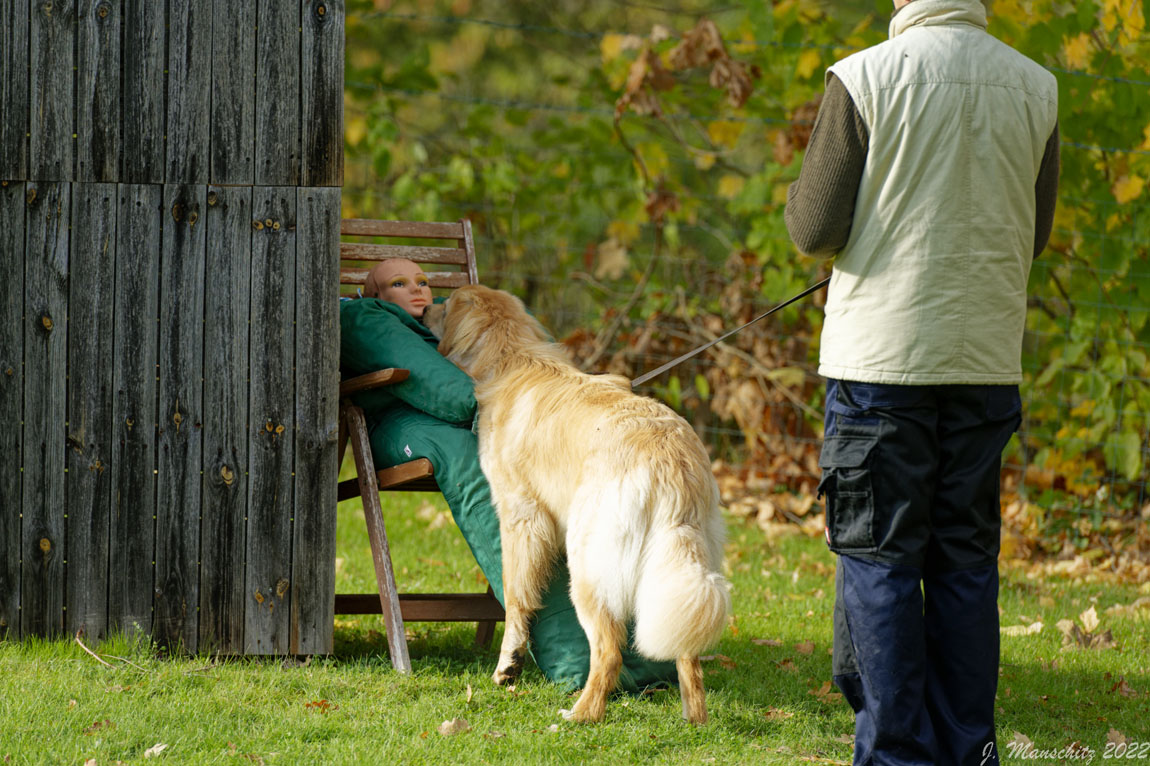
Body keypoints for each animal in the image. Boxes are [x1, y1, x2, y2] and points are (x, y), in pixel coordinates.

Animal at [423, 282, 726, 717]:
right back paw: (693, 718)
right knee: (687, 651)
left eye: (445, 305)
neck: (512, 356)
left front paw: (508, 665)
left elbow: (515, 596)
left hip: (587, 564)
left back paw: (580, 715)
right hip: (679, 568)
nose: (424, 307)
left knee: (609, 651)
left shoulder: (521, 516)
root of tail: (671, 458)